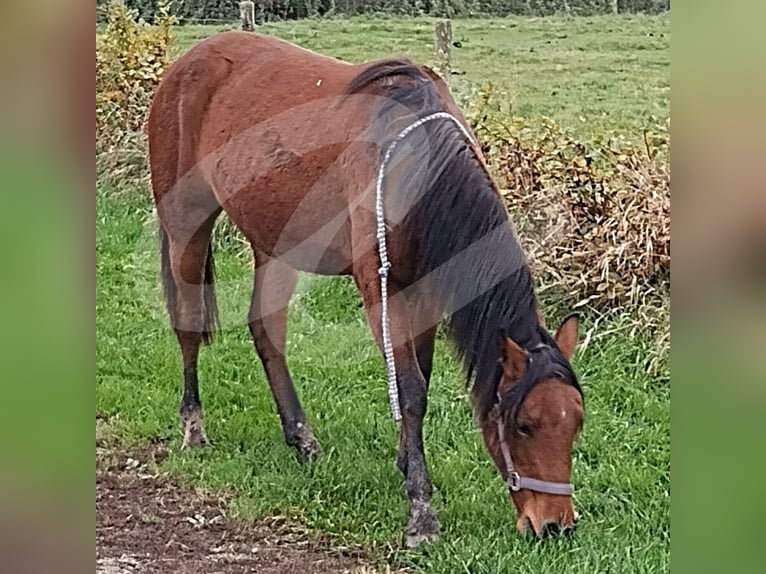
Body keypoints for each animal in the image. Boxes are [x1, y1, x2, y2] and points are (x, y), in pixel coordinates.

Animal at [147, 32, 584, 548]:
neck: (413, 166)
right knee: (188, 326)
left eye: (576, 423)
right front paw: (421, 511)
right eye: (524, 425)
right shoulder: (381, 294)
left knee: (267, 332)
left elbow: (420, 381)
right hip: (186, 226)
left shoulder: (422, 291)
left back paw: (301, 438)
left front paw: (407, 467)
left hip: (274, 242)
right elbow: (410, 390)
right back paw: (193, 427)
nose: (555, 525)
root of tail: (189, 62)